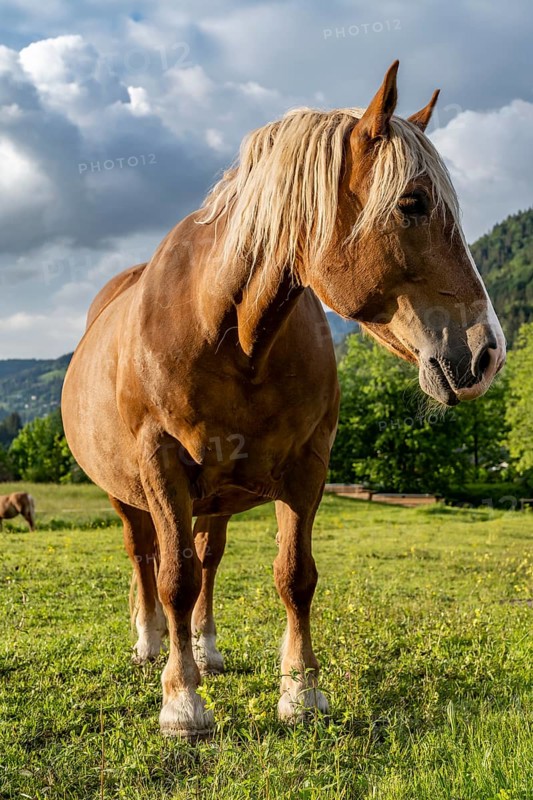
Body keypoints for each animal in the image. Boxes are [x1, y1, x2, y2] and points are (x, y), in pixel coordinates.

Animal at [61, 61, 506, 738]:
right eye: (413, 203)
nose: (487, 354)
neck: (229, 333)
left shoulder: (306, 466)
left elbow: (293, 576)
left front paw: (300, 692)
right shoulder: (161, 467)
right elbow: (172, 578)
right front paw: (182, 703)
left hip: (215, 496)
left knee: (208, 558)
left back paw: (207, 647)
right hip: (128, 492)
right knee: (145, 557)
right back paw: (150, 641)